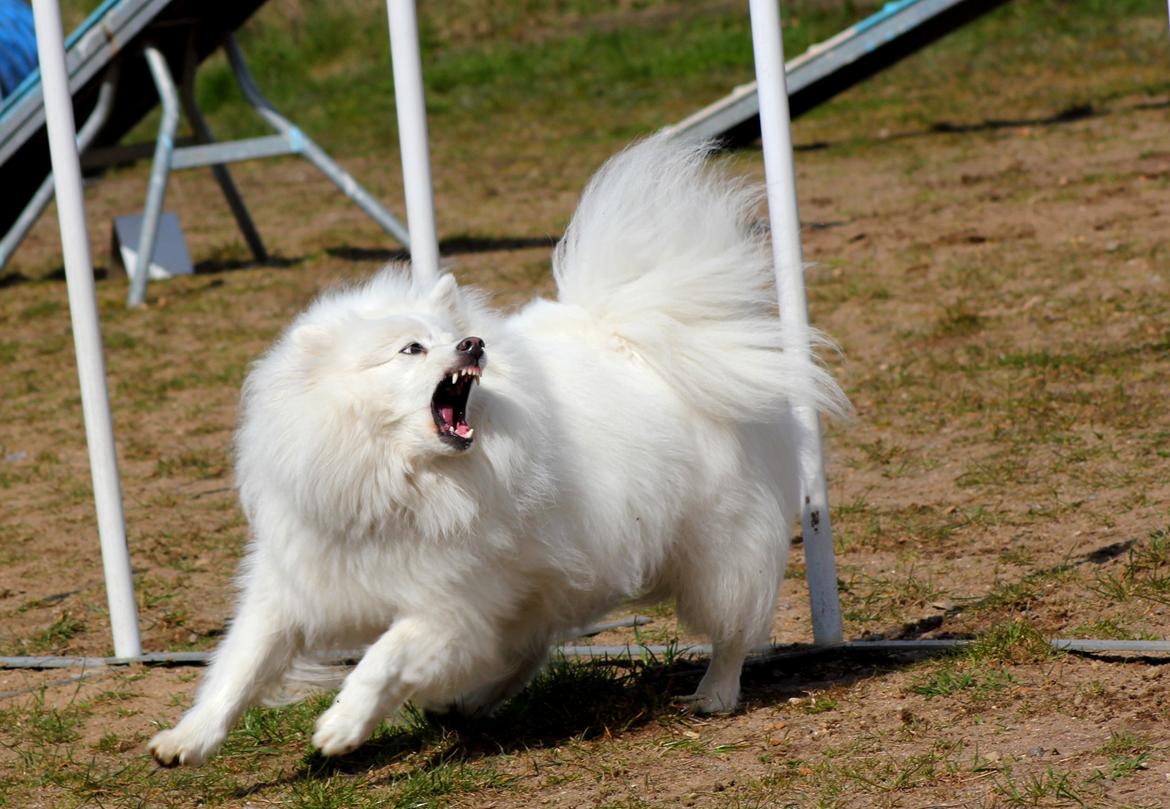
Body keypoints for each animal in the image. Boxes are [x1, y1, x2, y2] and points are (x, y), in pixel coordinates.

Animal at [148, 134, 842, 768]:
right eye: (411, 349)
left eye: (454, 337)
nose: (474, 343)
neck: (398, 477)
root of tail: (644, 336)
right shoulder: (295, 584)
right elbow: (239, 668)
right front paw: (186, 740)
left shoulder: (450, 601)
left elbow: (381, 658)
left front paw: (342, 725)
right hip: (556, 577)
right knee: (528, 648)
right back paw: (469, 704)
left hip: (715, 546)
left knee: (733, 627)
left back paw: (714, 694)